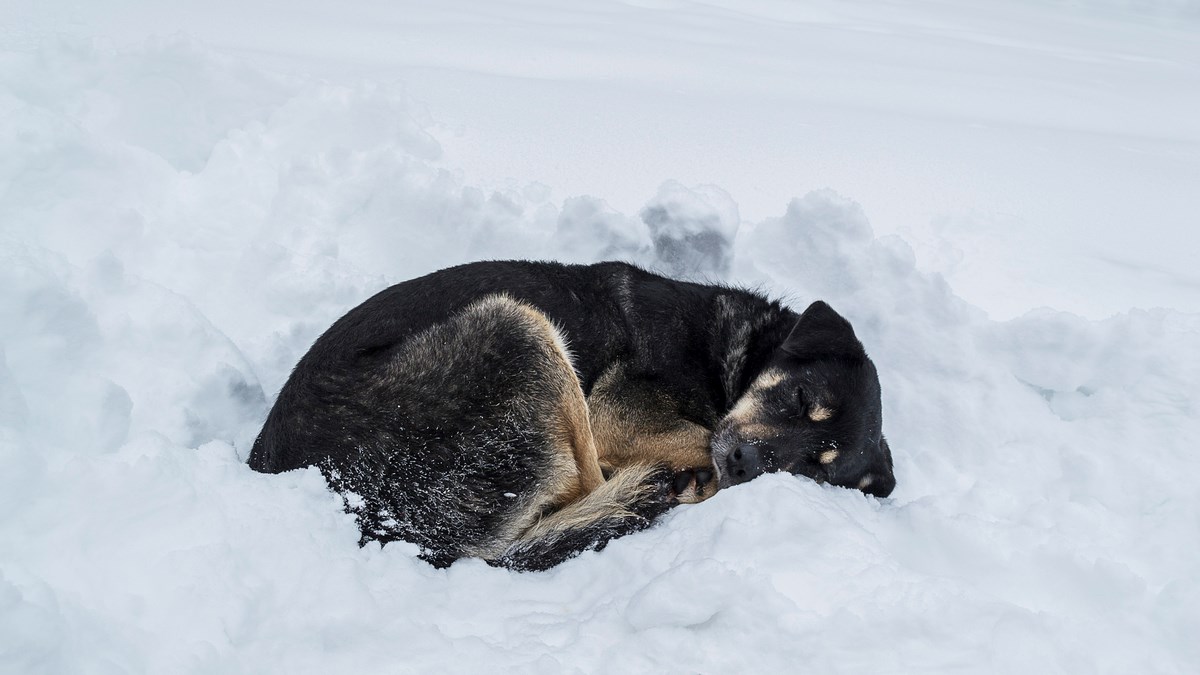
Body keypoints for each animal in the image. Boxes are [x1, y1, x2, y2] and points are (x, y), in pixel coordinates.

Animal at [250, 257, 892, 566]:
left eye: (812, 468)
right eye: (801, 400)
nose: (743, 463)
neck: (729, 357)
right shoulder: (614, 413)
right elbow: (696, 433)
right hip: (520, 328)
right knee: (589, 484)